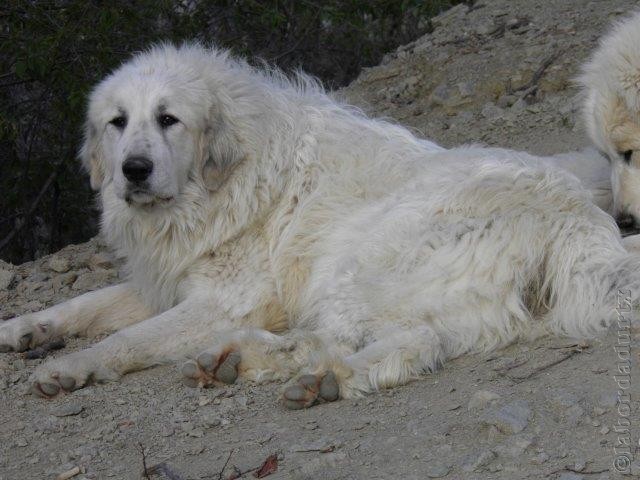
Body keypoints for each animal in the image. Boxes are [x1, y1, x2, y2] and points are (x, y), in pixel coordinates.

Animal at [0, 43, 636, 406]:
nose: (133, 170)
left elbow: (125, 338)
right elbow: (87, 305)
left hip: (365, 260)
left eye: (168, 119)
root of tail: (577, 222)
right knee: (399, 340)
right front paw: (26, 328)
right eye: (118, 122)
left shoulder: (228, 300)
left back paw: (314, 376)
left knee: (395, 340)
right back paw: (247, 363)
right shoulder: (165, 282)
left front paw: (70, 367)